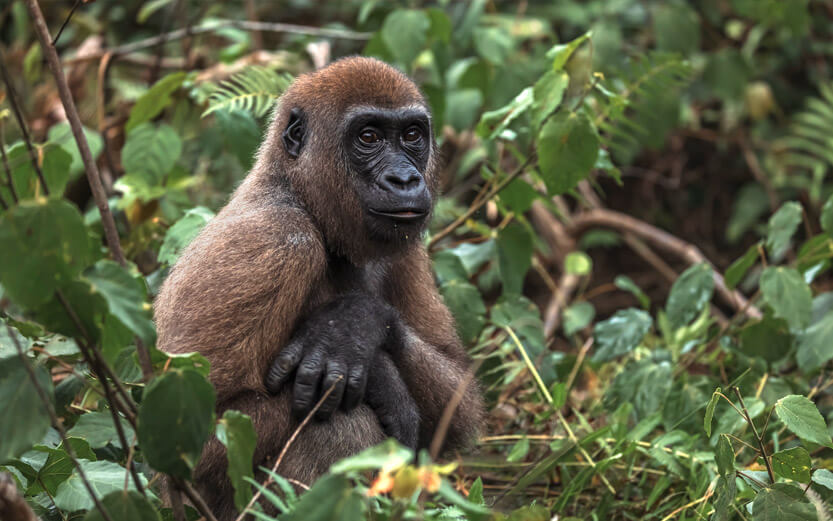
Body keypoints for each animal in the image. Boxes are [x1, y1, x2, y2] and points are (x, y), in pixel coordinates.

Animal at [154, 56, 485, 520]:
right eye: (368, 137)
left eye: (412, 136)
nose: (405, 179)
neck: (298, 193)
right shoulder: (275, 241)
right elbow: (190, 439)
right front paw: (381, 377)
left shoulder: (405, 248)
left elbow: (459, 399)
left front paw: (355, 326)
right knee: (344, 420)